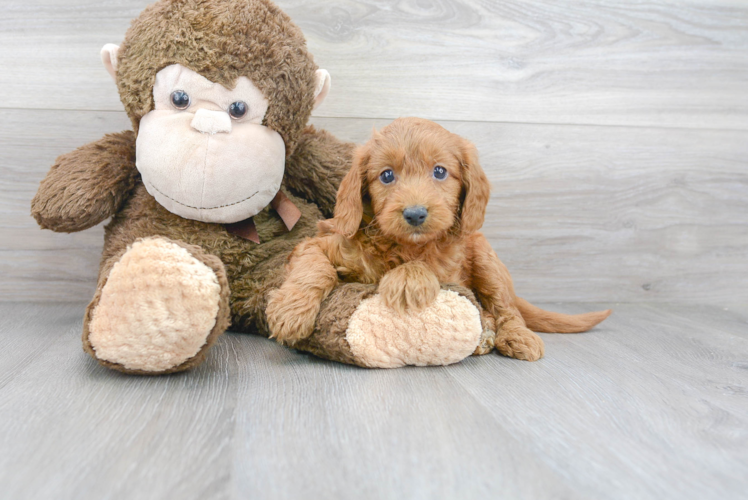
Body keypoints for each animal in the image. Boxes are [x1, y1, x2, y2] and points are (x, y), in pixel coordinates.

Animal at [266, 117, 612, 360]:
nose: (415, 214)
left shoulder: (450, 265)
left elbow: (429, 264)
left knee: (505, 308)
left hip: (485, 257)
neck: (401, 246)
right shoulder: (322, 242)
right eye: (387, 175)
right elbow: (313, 266)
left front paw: (407, 278)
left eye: (440, 171)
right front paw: (290, 310)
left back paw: (512, 335)